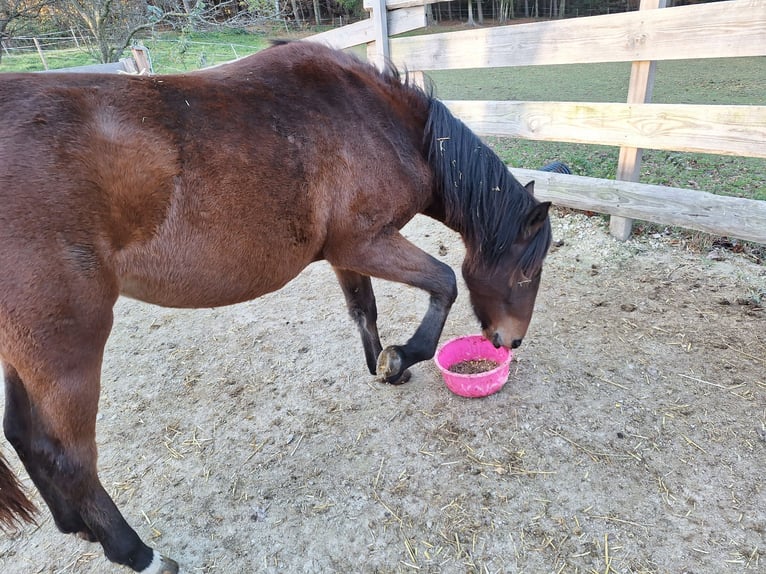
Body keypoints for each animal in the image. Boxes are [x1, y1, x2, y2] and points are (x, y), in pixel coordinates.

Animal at [0, 42, 552, 572]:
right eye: (527, 271)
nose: (511, 339)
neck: (378, 119)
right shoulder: (366, 242)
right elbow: (444, 283)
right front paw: (402, 357)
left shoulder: (345, 252)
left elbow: (364, 310)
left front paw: (383, 366)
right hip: (65, 346)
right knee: (69, 457)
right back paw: (137, 553)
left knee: (24, 437)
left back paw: (78, 526)